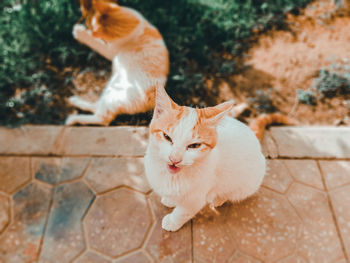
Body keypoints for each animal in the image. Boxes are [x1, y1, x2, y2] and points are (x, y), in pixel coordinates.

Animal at [144, 87, 270, 232]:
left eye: (194, 146)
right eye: (167, 137)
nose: (174, 159)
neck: (172, 177)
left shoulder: (196, 198)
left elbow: (183, 212)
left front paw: (172, 221)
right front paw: (171, 200)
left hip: (247, 183)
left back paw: (218, 199)